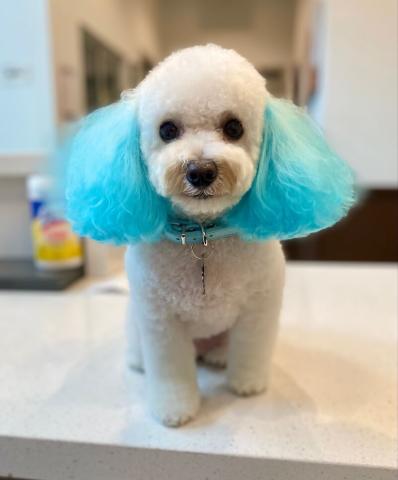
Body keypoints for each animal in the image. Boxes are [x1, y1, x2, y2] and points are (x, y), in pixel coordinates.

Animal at [65, 45, 354, 426]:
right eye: (167, 130)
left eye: (233, 127)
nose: (200, 171)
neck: (203, 235)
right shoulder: (161, 321)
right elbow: (171, 370)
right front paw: (175, 409)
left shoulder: (258, 308)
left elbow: (251, 349)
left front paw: (247, 384)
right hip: (136, 321)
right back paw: (140, 363)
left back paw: (218, 356)